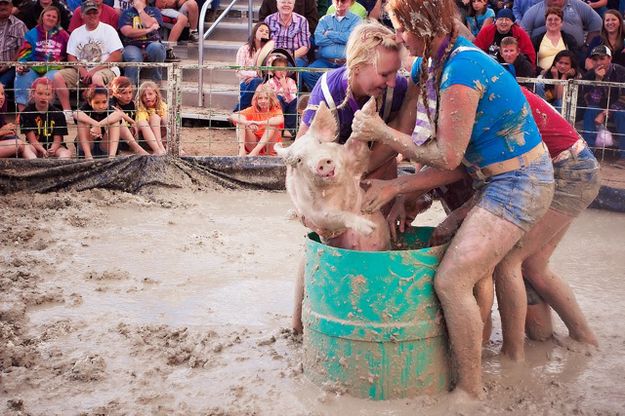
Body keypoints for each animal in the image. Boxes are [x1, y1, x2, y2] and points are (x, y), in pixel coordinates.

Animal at [274, 100, 390, 250]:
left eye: (320, 142)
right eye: (299, 160)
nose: (321, 161)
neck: (336, 188)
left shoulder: (352, 158)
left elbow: (355, 143)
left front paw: (368, 107)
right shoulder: (315, 213)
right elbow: (334, 216)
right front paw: (369, 228)